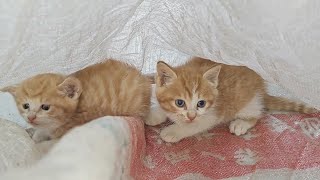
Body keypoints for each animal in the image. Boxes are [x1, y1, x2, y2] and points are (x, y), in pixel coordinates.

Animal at [146, 57, 318, 143]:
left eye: (201, 103)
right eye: (179, 103)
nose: (191, 115)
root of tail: (262, 89)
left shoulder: (212, 114)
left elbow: (194, 125)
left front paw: (173, 131)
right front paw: (154, 114)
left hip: (248, 103)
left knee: (257, 115)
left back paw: (240, 124)